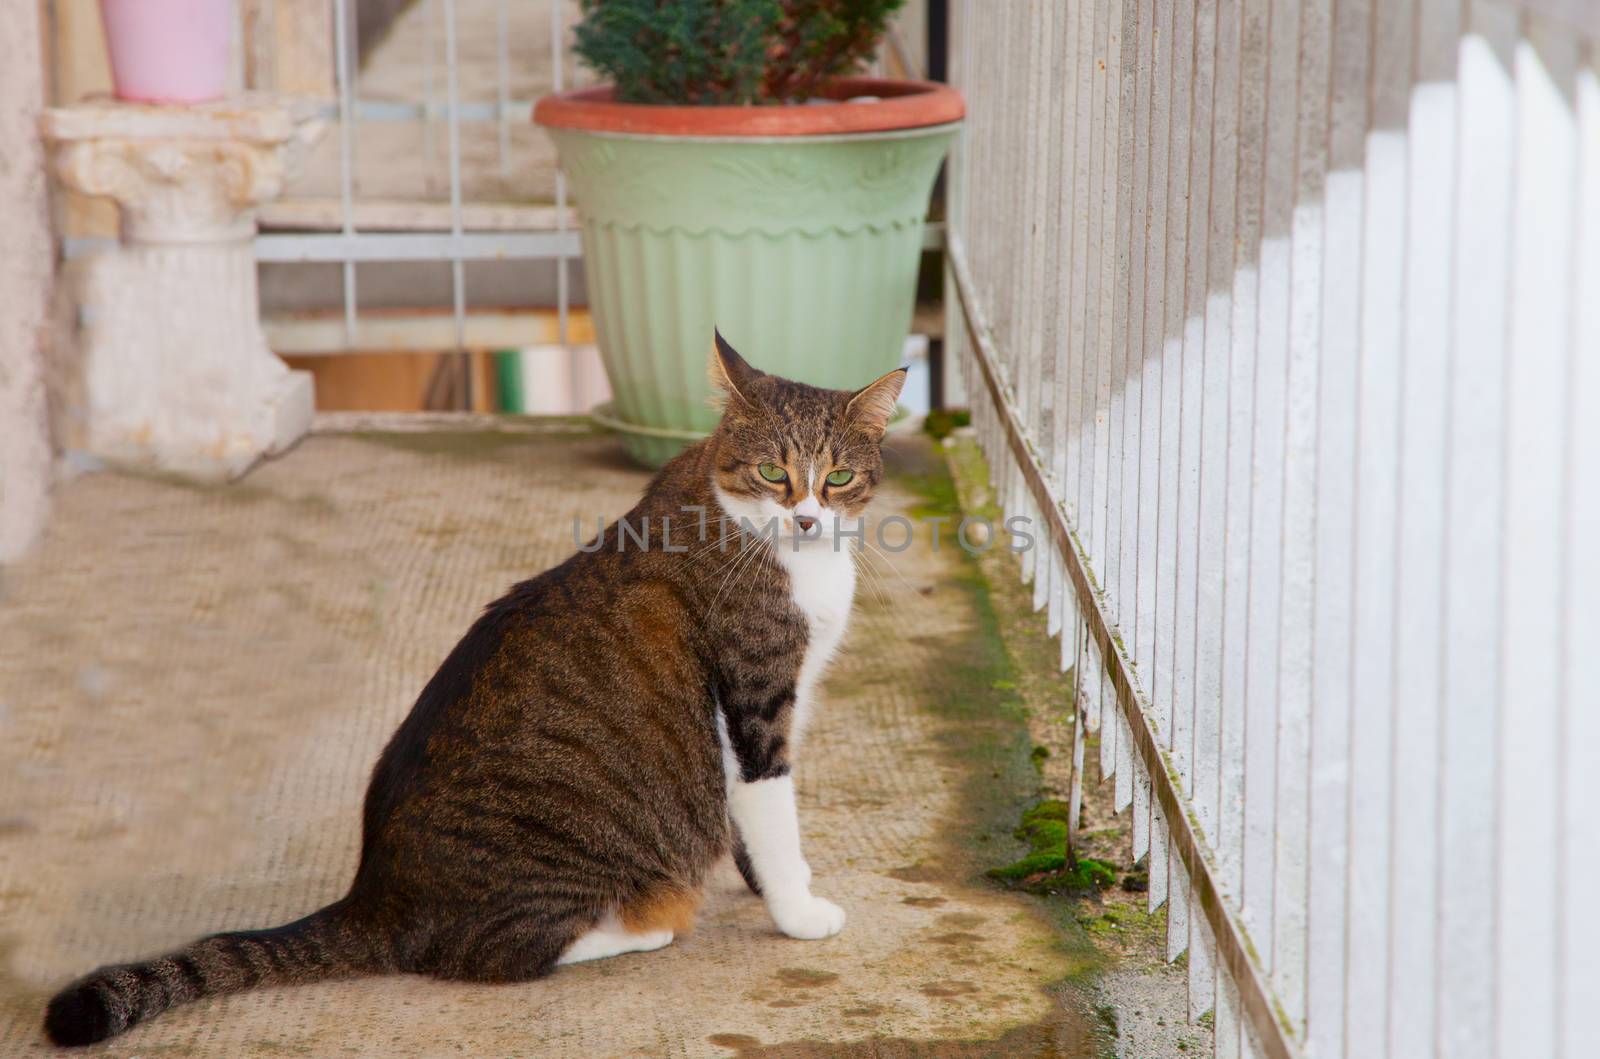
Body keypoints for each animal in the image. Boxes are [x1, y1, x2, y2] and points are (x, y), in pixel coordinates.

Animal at [43, 335, 908, 1049]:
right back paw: (647, 921)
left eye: (836, 476)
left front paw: (771, 887)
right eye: (773, 472)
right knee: (490, 954)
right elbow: (774, 814)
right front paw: (798, 911)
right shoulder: (757, 702)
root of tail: (374, 896)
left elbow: (748, 825)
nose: (806, 519)